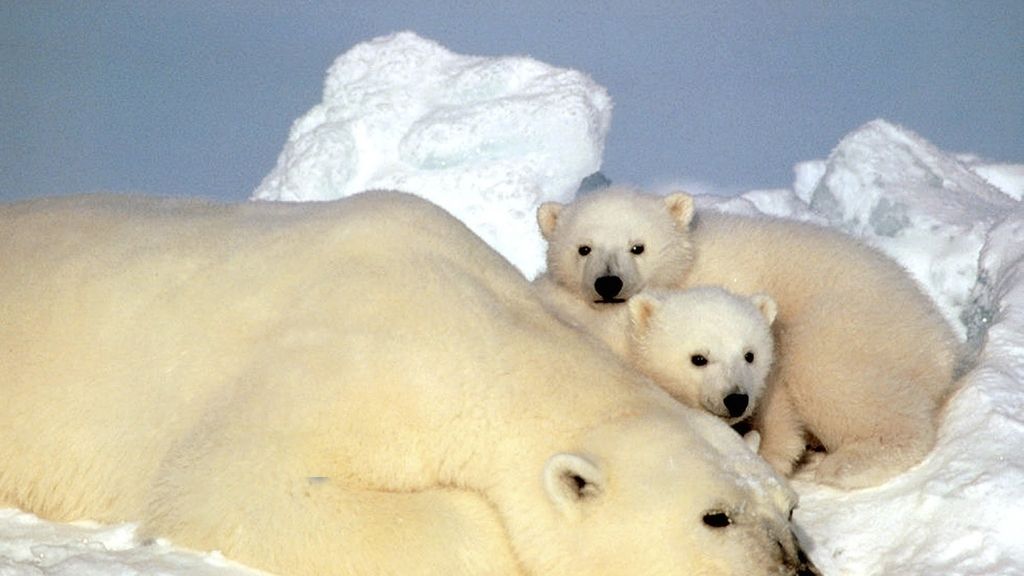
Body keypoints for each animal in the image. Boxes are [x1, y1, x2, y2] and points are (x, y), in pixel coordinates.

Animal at [535, 186, 960, 489]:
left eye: (637, 247)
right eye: (583, 248)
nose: (608, 283)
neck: (689, 267)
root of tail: (941, 340)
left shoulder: (737, 285)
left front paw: (769, 453)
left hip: (857, 323)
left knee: (833, 374)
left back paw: (850, 464)